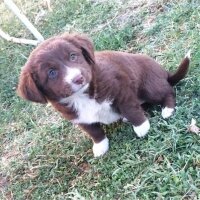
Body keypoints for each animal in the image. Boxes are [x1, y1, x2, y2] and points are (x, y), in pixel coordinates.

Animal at [16, 33, 190, 157]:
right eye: (51, 73)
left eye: (73, 56)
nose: (78, 78)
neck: (82, 95)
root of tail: (165, 73)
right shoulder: (78, 117)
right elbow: (93, 131)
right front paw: (100, 146)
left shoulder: (122, 89)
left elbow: (130, 109)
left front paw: (141, 127)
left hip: (149, 85)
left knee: (167, 91)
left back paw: (167, 109)